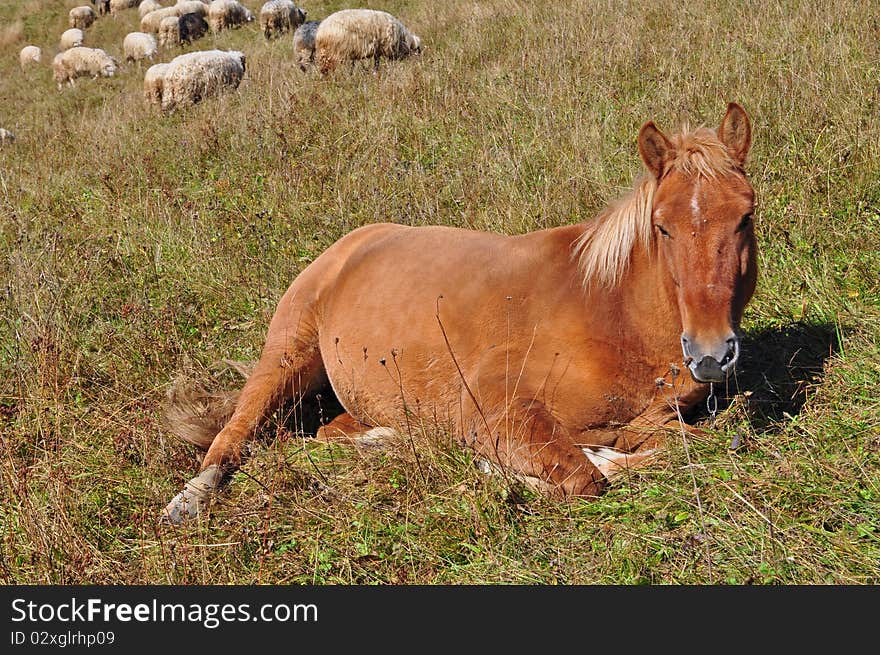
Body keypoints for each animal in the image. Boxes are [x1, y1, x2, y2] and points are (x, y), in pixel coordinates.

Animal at [163, 101, 756, 524]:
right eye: (662, 226)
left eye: (745, 217)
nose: (710, 354)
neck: (612, 315)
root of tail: (350, 244)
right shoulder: (495, 403)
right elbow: (584, 476)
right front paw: (510, 473)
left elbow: (701, 437)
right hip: (286, 355)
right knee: (231, 437)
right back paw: (187, 503)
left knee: (333, 432)